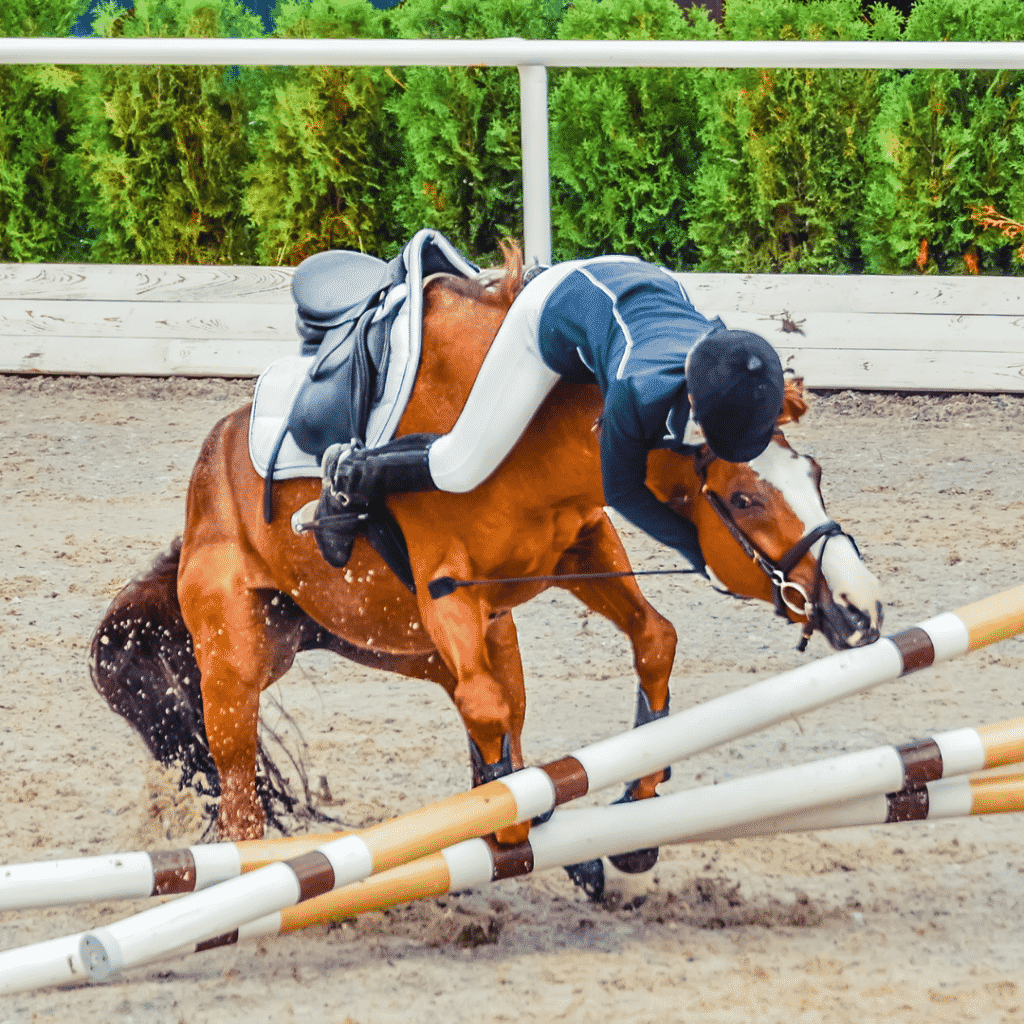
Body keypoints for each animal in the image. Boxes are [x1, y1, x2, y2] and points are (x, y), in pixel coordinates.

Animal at [92, 241, 884, 856]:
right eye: (746, 498)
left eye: (814, 474)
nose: (862, 609)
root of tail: (205, 485)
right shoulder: (447, 589)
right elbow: (489, 708)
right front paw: (521, 829)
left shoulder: (577, 546)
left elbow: (651, 640)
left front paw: (639, 800)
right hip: (237, 670)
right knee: (240, 796)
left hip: (401, 641)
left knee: (496, 713)